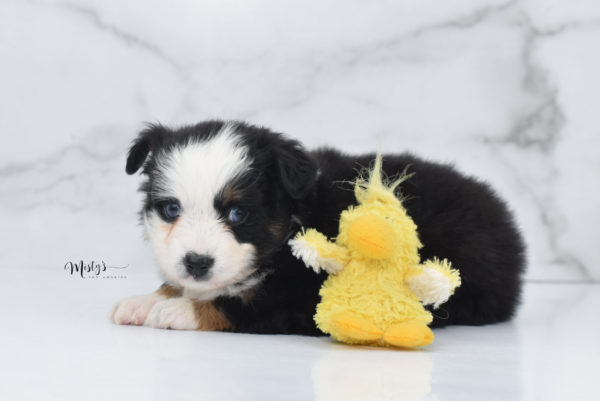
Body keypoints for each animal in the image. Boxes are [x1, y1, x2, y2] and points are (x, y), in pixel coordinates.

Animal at [109, 120, 524, 332]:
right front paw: (146, 300)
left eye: (238, 214)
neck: (291, 228)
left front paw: (177, 310)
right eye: (170, 209)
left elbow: (238, 301)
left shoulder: (300, 294)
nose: (196, 262)